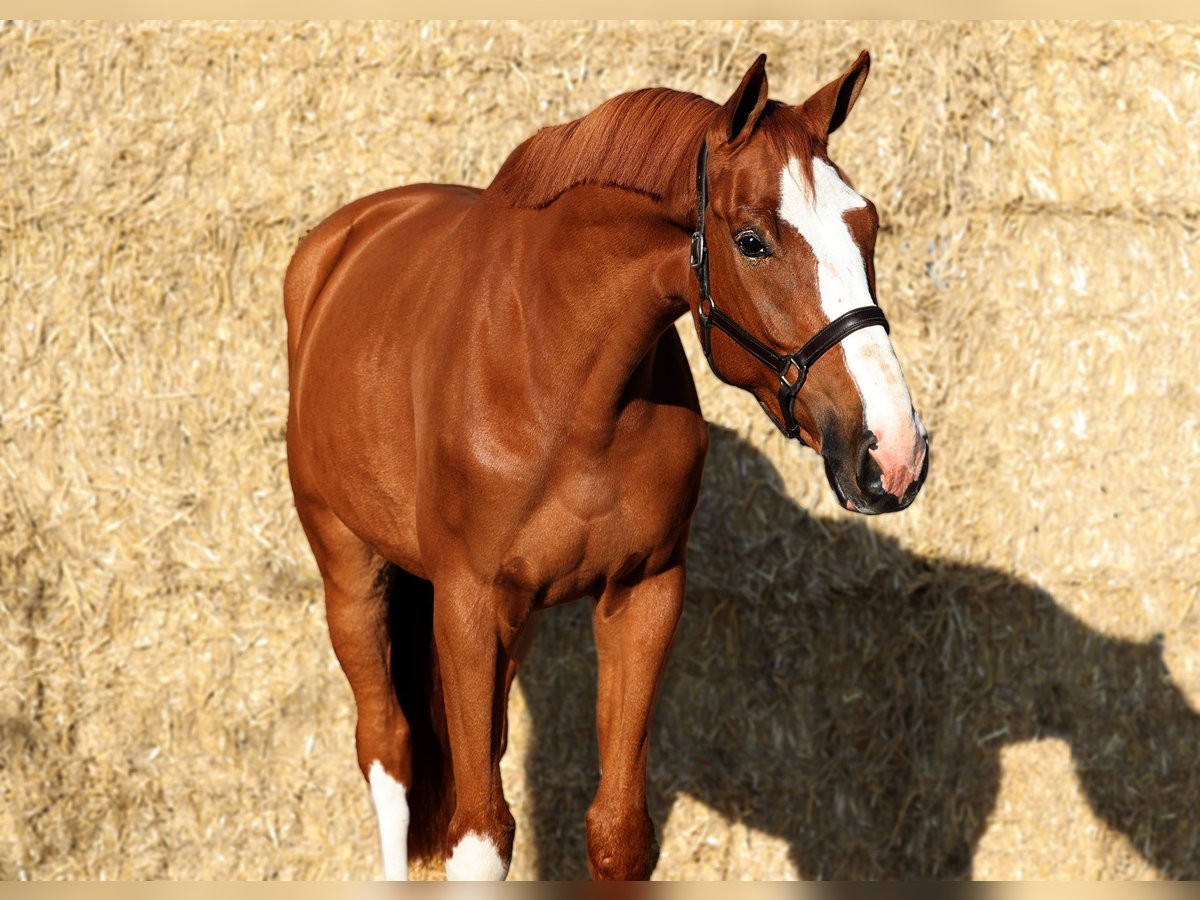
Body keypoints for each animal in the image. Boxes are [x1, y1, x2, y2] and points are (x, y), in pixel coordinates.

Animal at [283, 52, 926, 883]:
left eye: (866, 222)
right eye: (752, 240)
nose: (893, 450)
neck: (558, 377)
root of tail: (334, 247)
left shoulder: (643, 595)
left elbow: (618, 832)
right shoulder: (465, 603)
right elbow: (477, 838)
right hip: (348, 565)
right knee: (388, 749)